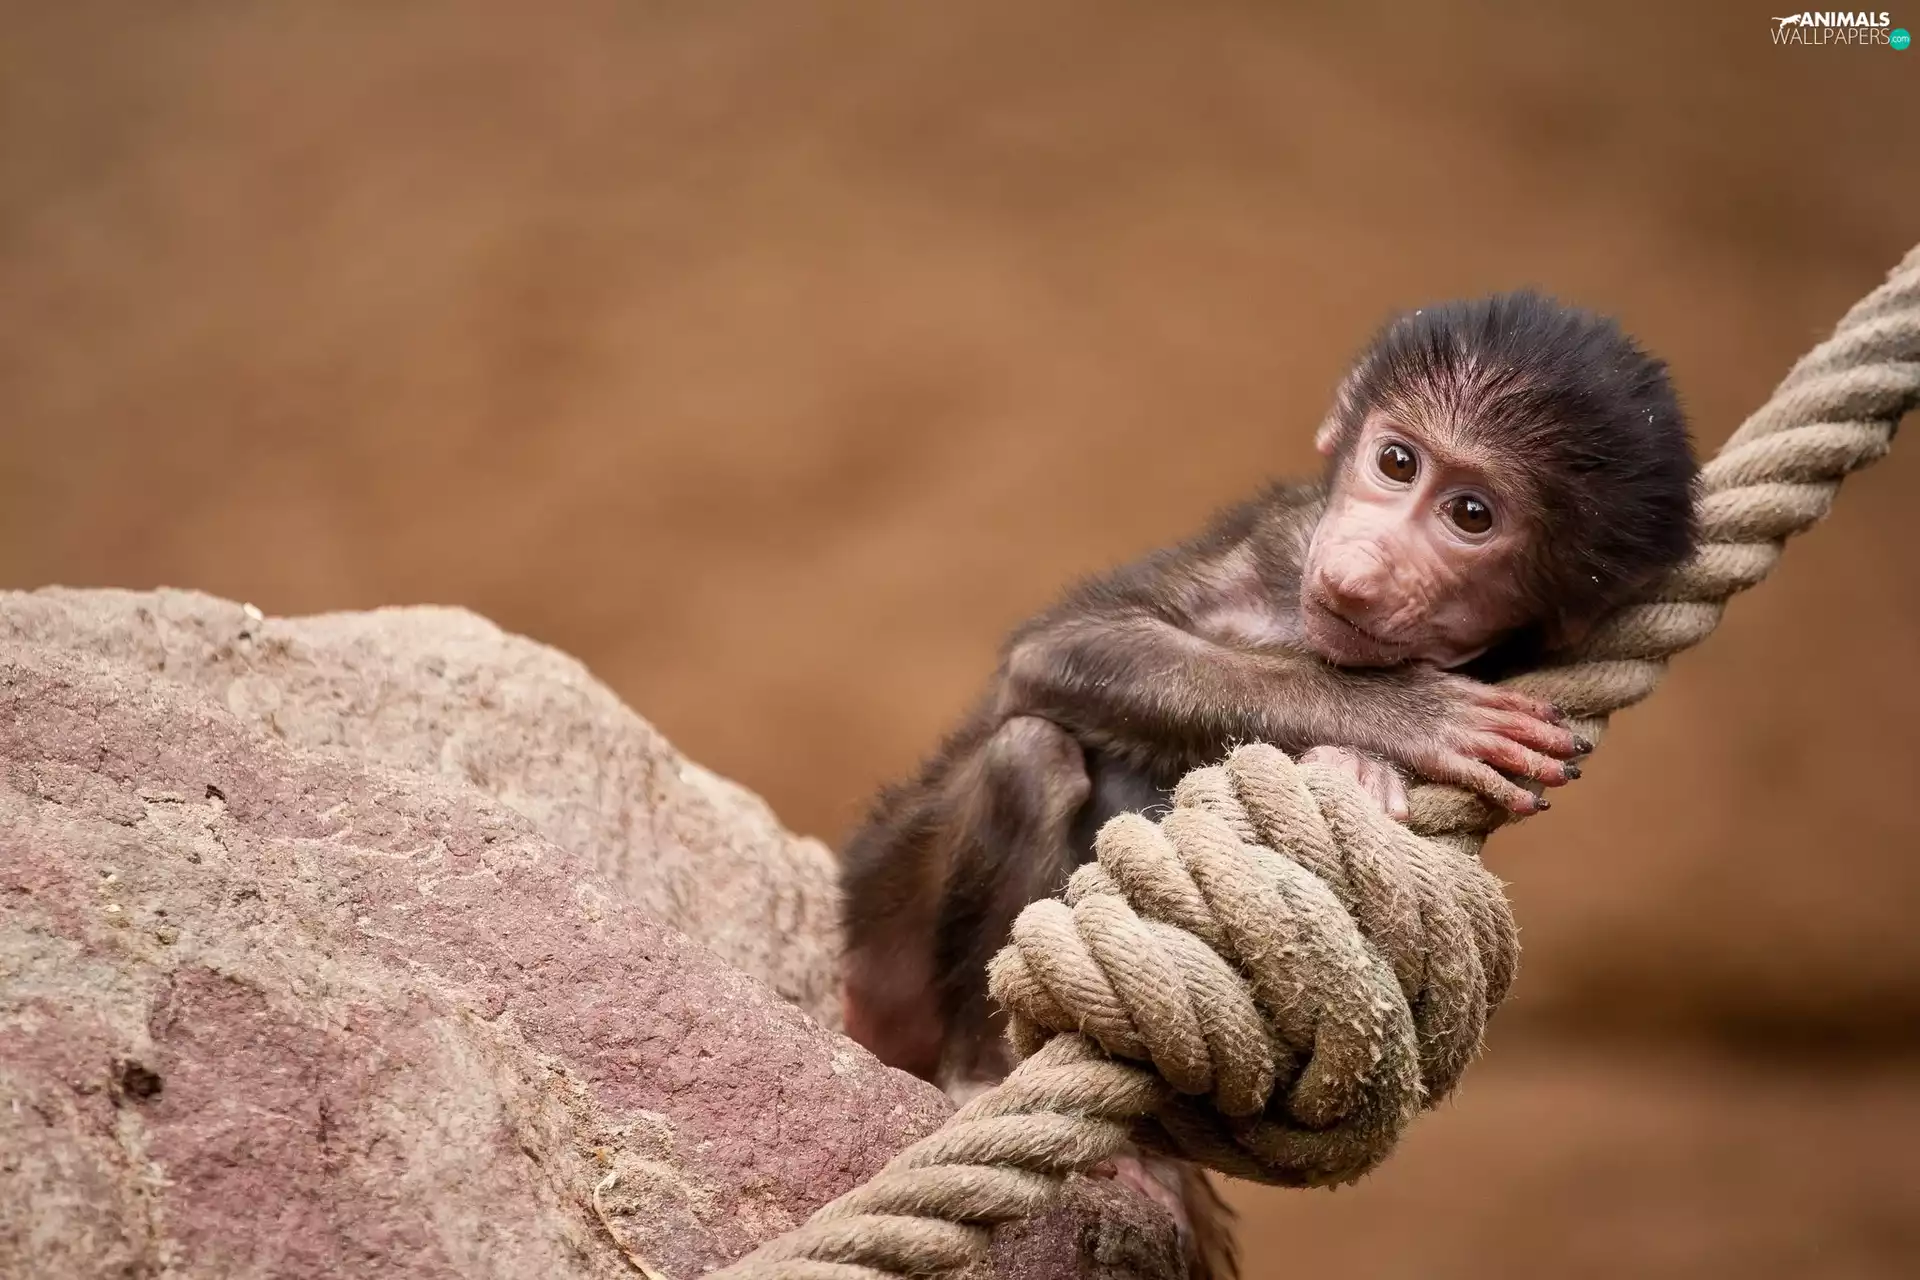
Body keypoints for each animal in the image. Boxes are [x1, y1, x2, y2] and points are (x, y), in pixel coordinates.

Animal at [837, 291, 1698, 1276]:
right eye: (1396, 462)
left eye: (1472, 515)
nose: (1361, 568)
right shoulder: (1283, 538)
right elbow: (1062, 650)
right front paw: (1396, 719)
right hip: (890, 915)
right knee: (1030, 755)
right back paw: (984, 1073)